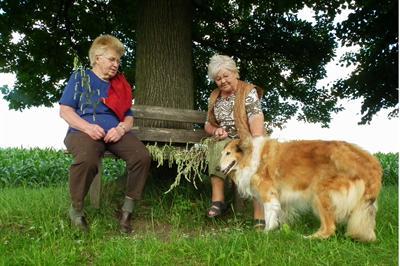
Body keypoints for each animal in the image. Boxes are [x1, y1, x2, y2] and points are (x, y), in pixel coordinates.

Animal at [220, 136, 382, 242]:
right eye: (222, 154)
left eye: (228, 153)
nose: (217, 169)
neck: (251, 156)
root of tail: (372, 165)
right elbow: (280, 215)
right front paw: (280, 231)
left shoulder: (269, 194)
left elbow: (269, 216)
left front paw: (266, 233)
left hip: (320, 194)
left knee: (329, 228)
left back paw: (307, 238)